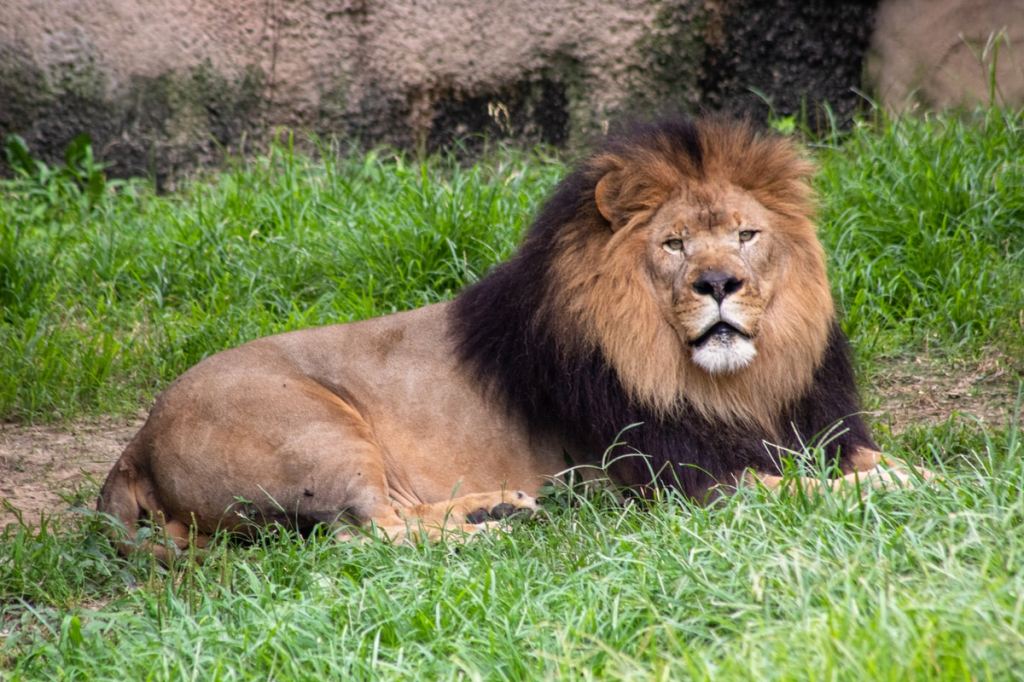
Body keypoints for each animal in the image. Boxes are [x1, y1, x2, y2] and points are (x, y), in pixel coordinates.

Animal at [98, 116, 928, 559]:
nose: (718, 283)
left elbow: (873, 460)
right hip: (315, 431)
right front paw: (888, 490)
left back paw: (500, 510)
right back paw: (493, 536)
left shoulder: (811, 424)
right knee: (365, 534)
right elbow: (802, 490)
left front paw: (915, 472)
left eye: (746, 235)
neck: (736, 384)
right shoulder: (675, 479)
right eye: (674, 245)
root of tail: (136, 441)